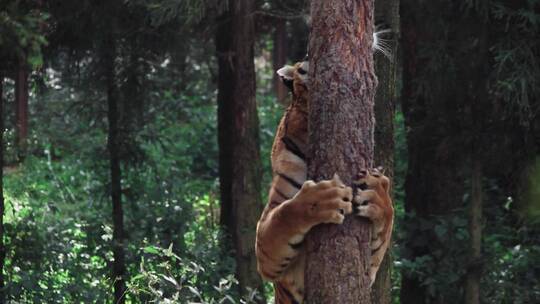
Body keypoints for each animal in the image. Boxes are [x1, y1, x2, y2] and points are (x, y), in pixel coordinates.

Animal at [255, 57, 394, 302]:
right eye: (302, 69)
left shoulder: (371, 271)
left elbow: (388, 220)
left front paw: (377, 196)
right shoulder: (265, 244)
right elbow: (285, 214)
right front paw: (324, 199)